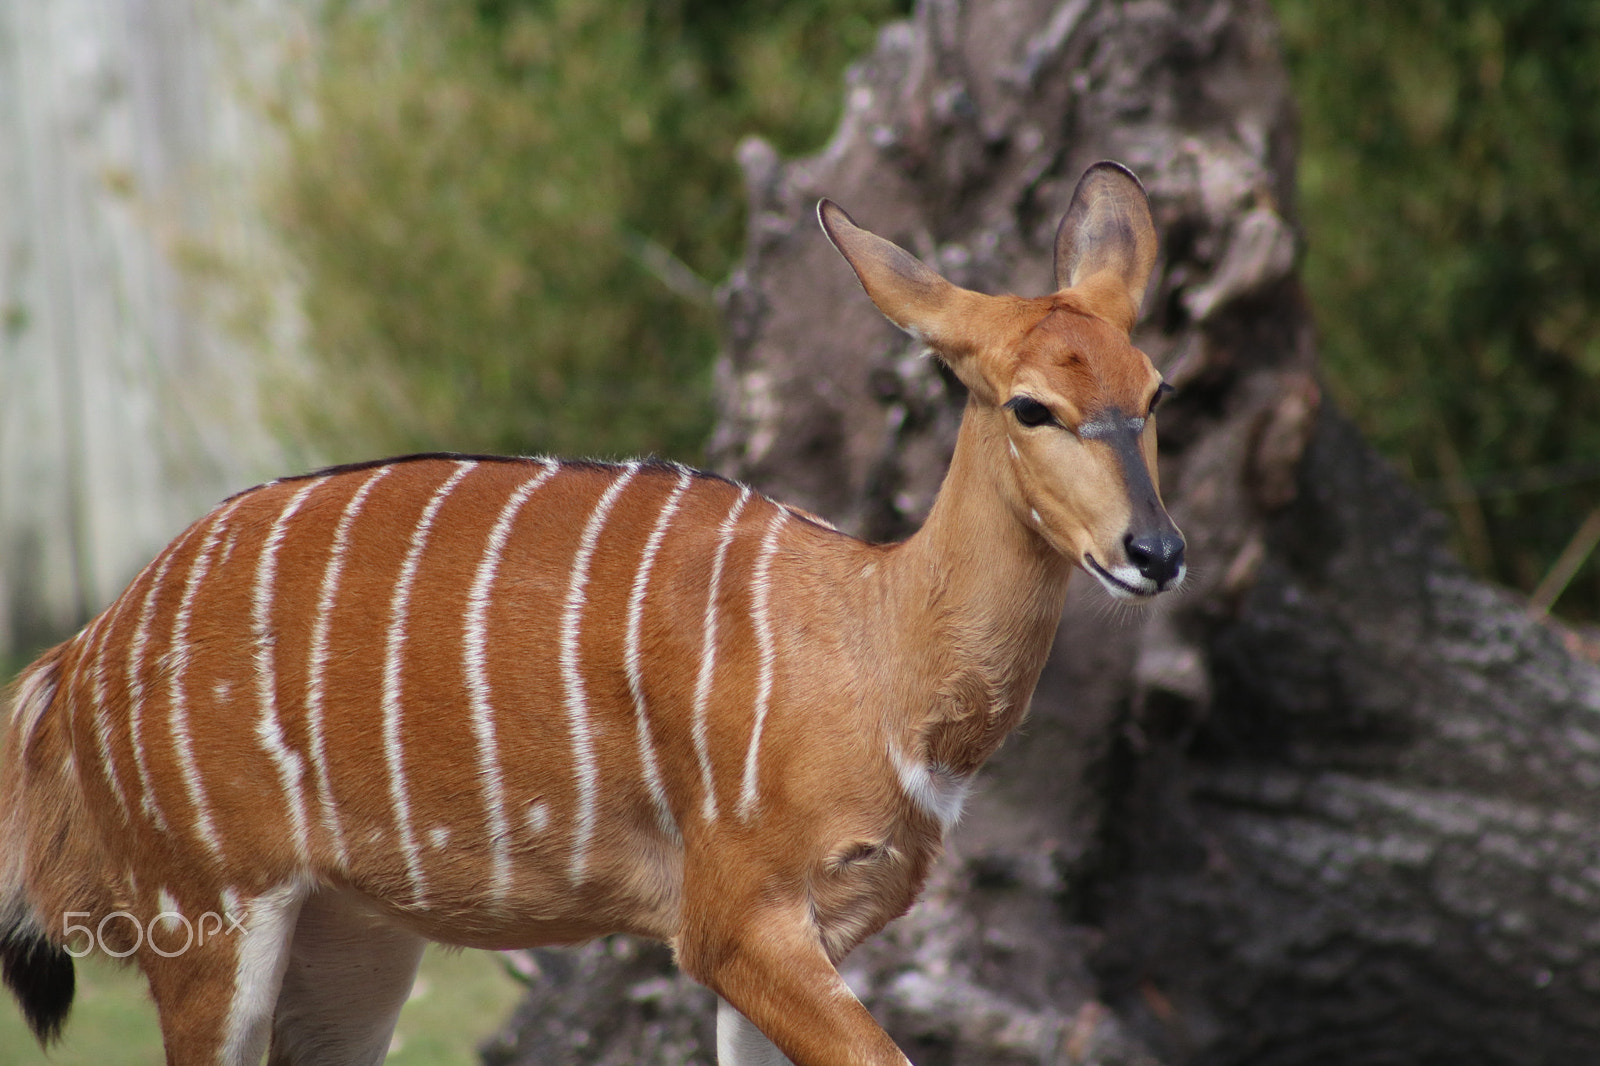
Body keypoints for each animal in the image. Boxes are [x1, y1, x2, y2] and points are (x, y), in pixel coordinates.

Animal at [0, 161, 1182, 1066]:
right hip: (206, 913)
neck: (873, 644)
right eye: (1031, 406)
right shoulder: (732, 919)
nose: (1156, 553)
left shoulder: (815, 929)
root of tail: (78, 655)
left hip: (350, 937)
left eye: (1157, 389)